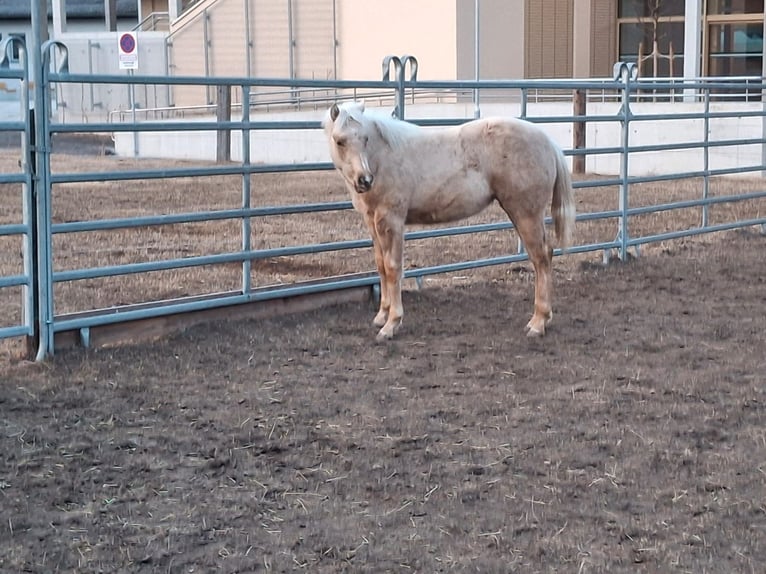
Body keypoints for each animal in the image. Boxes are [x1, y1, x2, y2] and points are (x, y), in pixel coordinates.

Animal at [323, 101, 575, 342]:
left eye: (365, 138)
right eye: (339, 141)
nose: (364, 180)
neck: (383, 158)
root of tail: (548, 142)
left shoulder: (391, 220)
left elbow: (393, 268)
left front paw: (391, 325)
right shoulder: (372, 221)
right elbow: (381, 266)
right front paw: (381, 316)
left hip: (526, 214)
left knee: (541, 258)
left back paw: (538, 323)